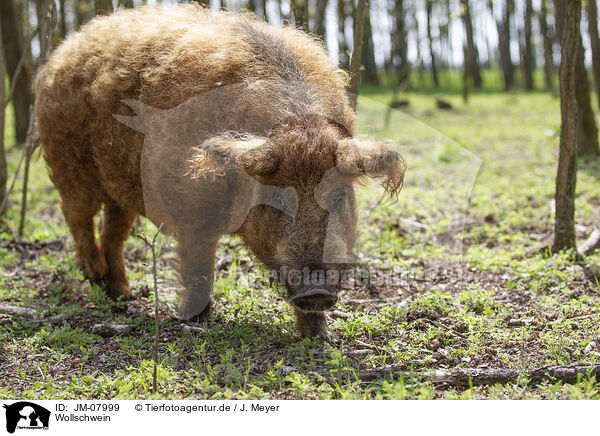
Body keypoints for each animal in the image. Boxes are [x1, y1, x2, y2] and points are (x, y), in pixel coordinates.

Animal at [35, 5, 406, 342]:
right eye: (278, 197)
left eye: (339, 196)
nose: (317, 291)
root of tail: (65, 48)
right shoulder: (191, 211)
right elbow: (200, 268)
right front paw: (196, 322)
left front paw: (322, 339)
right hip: (68, 163)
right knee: (77, 218)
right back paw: (95, 275)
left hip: (120, 188)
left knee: (112, 233)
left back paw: (123, 296)